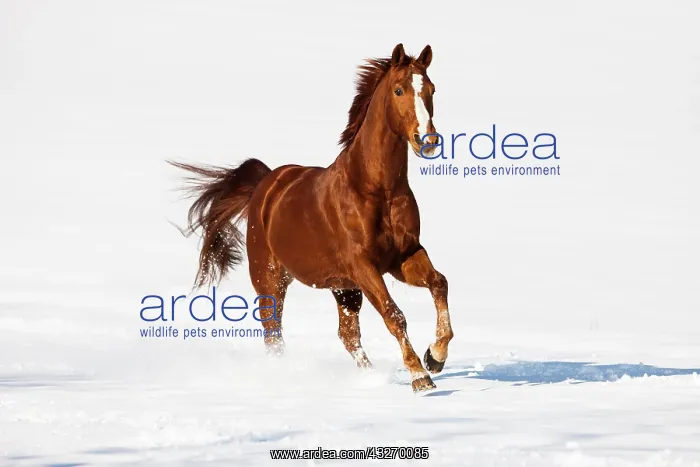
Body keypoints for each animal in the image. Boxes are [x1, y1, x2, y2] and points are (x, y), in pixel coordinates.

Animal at [170, 43, 454, 392]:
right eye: (399, 90)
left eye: (431, 89)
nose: (428, 141)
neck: (376, 188)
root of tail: (266, 185)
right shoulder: (363, 265)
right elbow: (393, 314)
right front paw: (419, 376)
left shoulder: (404, 256)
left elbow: (439, 284)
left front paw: (435, 357)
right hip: (270, 280)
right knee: (274, 335)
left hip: (343, 289)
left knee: (348, 335)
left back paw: (368, 377)